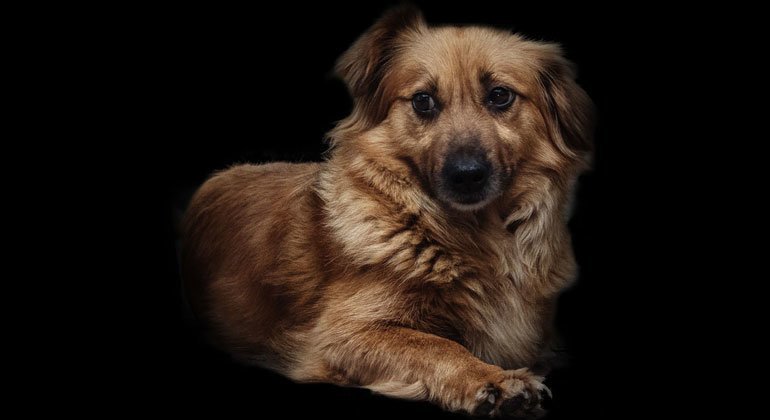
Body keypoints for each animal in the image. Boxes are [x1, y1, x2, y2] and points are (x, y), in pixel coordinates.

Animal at [180, 5, 592, 416]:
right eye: (423, 101)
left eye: (500, 96)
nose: (466, 175)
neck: (471, 238)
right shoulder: (340, 335)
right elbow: (436, 345)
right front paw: (492, 379)